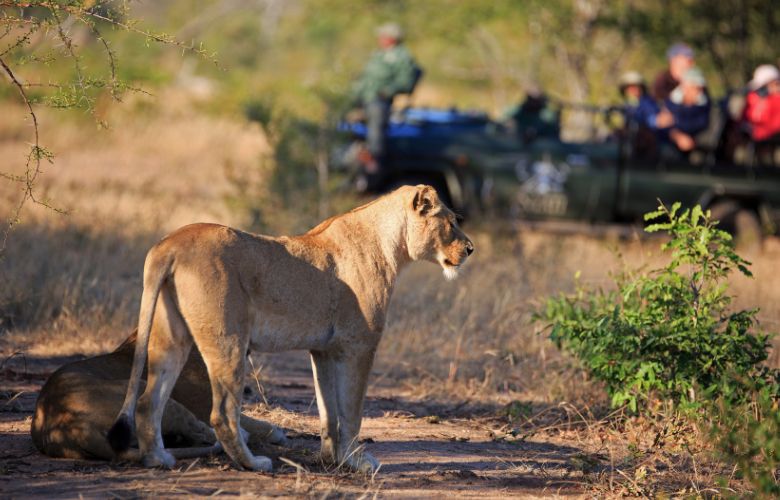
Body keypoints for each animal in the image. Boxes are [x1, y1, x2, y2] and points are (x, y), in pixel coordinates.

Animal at [31, 330, 286, 462]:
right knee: (202, 431)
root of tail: (68, 428)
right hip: (146, 389)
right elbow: (258, 424)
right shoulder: (206, 406)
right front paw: (275, 432)